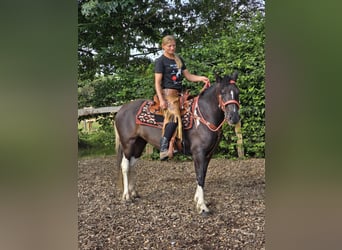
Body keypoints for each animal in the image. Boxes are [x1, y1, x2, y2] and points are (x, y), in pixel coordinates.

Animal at [114, 71, 240, 214]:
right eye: (222, 92)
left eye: (237, 92)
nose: (234, 117)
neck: (202, 115)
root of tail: (121, 110)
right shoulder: (199, 153)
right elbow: (199, 175)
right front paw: (202, 206)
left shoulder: (208, 154)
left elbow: (202, 175)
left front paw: (198, 200)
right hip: (128, 143)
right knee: (125, 165)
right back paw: (126, 196)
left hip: (139, 144)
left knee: (132, 165)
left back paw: (133, 192)